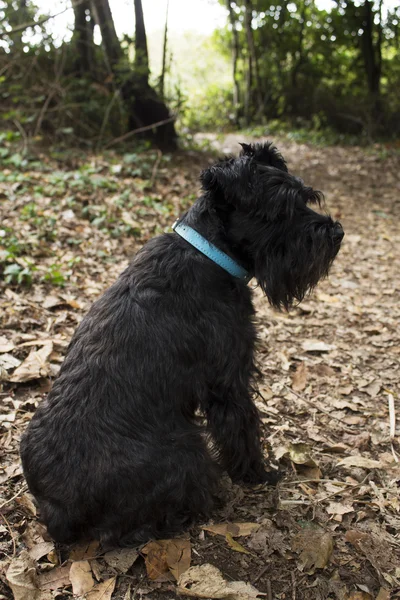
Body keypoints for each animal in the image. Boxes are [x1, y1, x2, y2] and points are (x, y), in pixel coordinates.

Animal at [19, 143, 344, 548]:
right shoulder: (228, 380)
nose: (336, 233)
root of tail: (55, 511)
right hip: (187, 448)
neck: (210, 254)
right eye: (281, 208)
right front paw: (257, 473)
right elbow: (242, 428)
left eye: (305, 197)